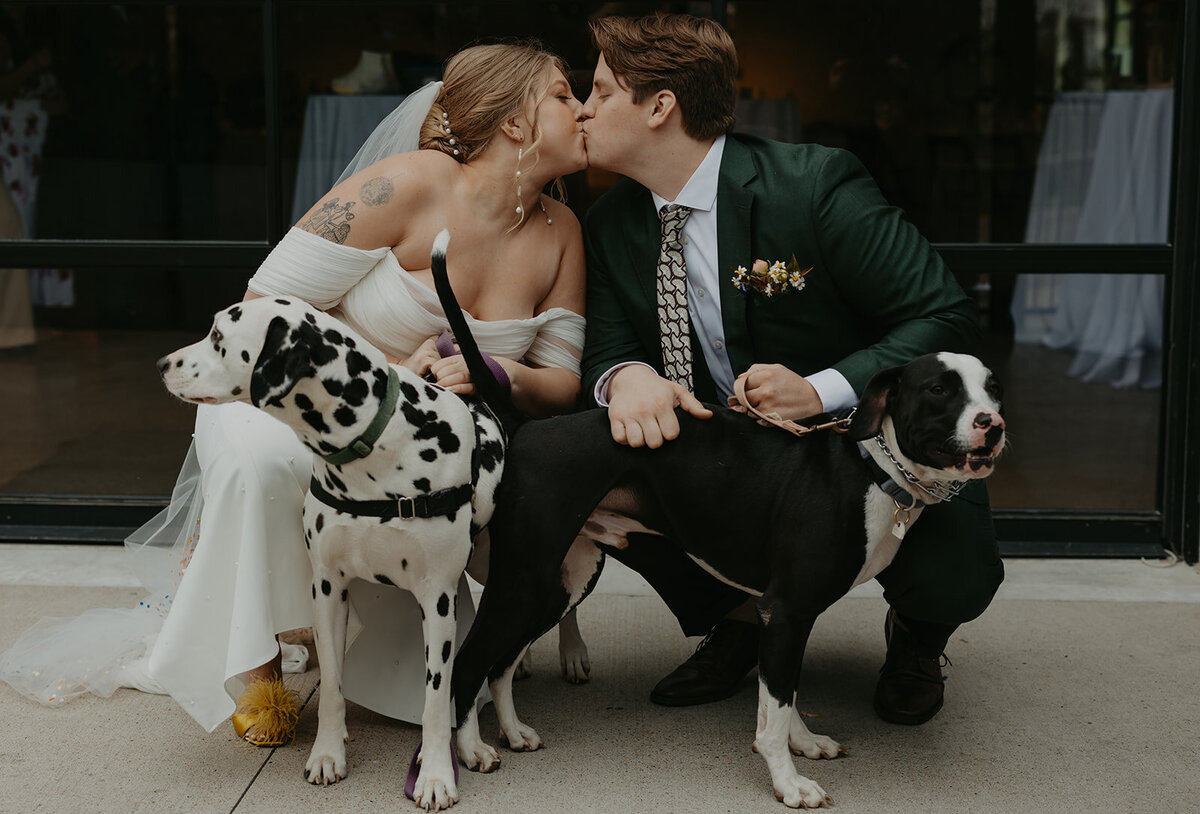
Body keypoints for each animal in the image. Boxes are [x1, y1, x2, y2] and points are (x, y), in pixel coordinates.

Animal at [157, 280, 504, 811]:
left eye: (218, 336)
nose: (162, 364)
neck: (375, 449)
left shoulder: (438, 598)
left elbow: (434, 697)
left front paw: (435, 774)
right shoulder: (327, 589)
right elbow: (335, 686)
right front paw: (327, 754)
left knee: (468, 671)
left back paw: (472, 743)